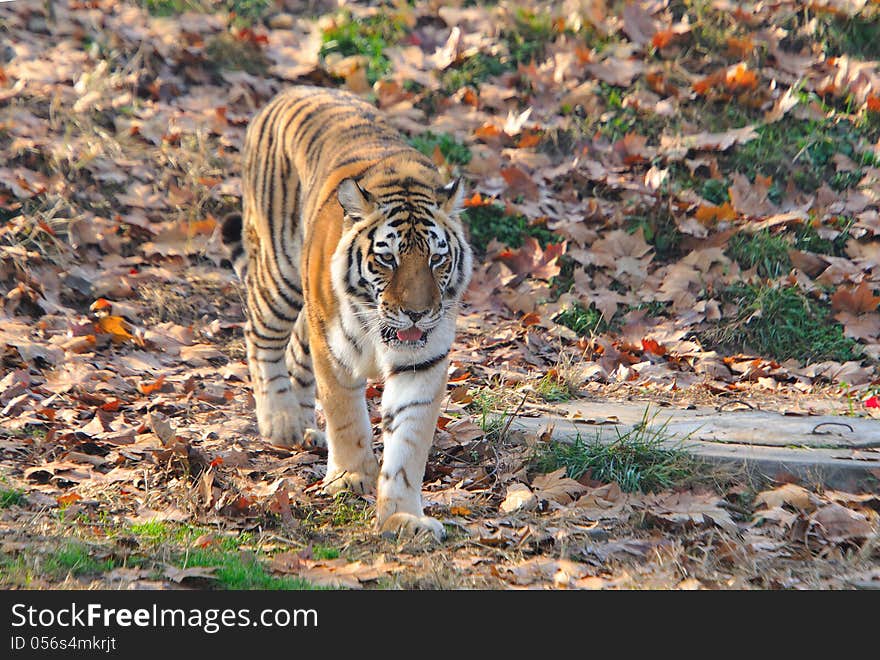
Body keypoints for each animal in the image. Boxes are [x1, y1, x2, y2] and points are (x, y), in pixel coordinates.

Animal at [223, 86, 474, 540]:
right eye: (388, 258)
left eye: (437, 259)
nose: (416, 314)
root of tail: (291, 89)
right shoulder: (333, 349)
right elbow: (346, 416)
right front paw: (351, 477)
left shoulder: (423, 361)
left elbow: (408, 443)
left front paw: (402, 517)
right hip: (279, 275)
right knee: (260, 337)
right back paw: (281, 421)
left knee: (294, 353)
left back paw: (305, 426)